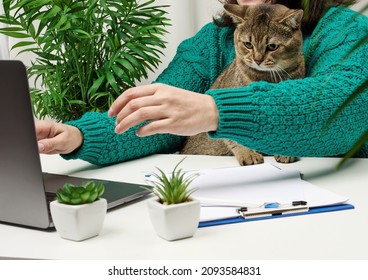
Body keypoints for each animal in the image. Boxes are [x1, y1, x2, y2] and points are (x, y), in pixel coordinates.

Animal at [180, 3, 304, 164]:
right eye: (248, 44)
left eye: (272, 46)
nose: (258, 60)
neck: (266, 77)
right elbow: (235, 136)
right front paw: (247, 153)